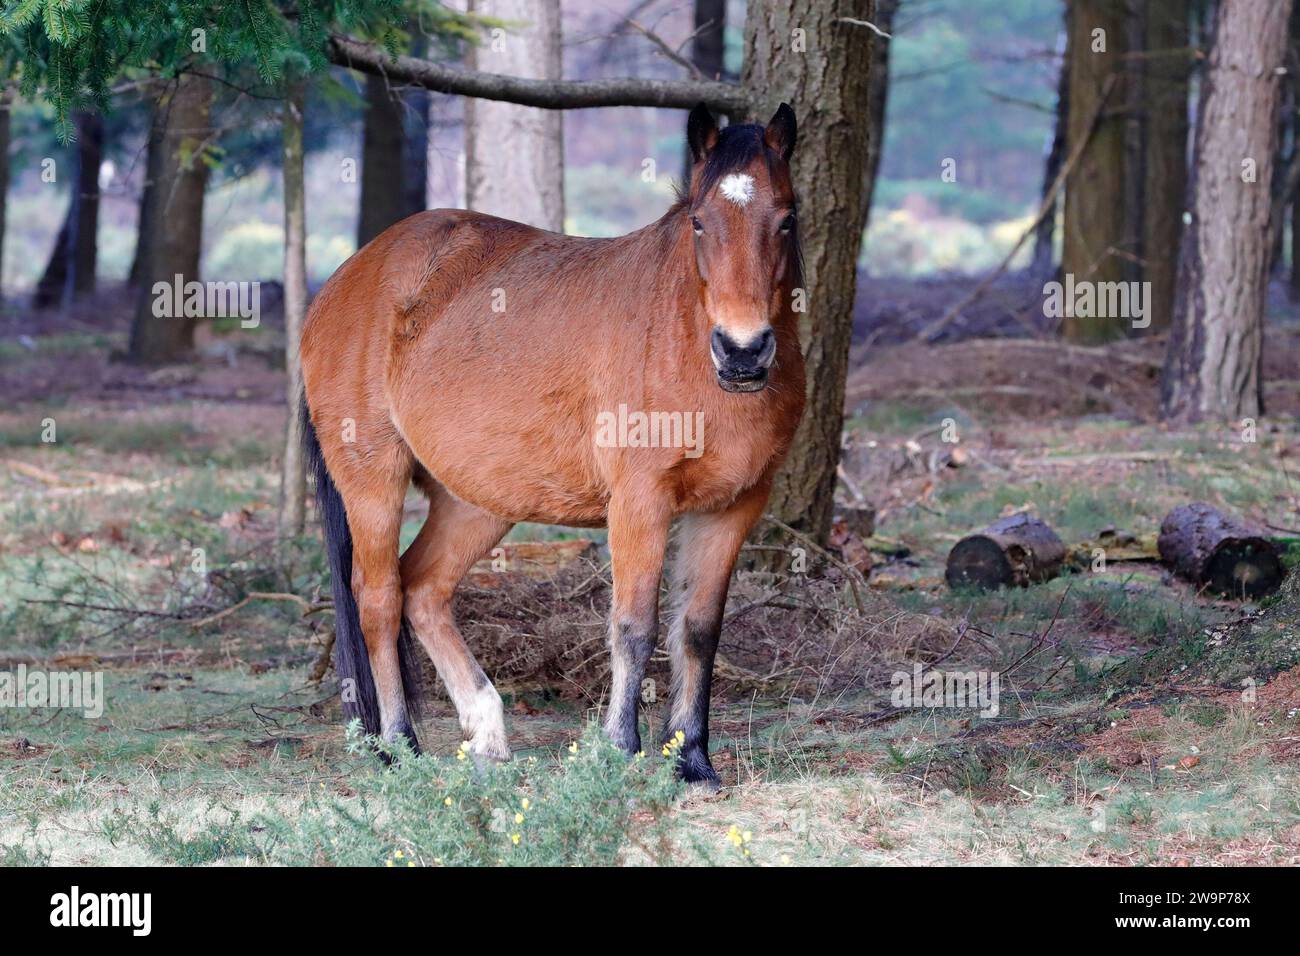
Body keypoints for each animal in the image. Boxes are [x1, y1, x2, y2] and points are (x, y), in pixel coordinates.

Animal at [300, 103, 805, 787]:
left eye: (787, 218)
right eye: (700, 221)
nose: (744, 351)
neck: (684, 339)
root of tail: (342, 282)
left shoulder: (734, 508)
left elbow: (698, 630)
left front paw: (692, 760)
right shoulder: (639, 502)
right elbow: (634, 626)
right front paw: (619, 749)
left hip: (478, 500)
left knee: (423, 588)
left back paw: (486, 731)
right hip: (372, 481)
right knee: (378, 599)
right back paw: (398, 746)